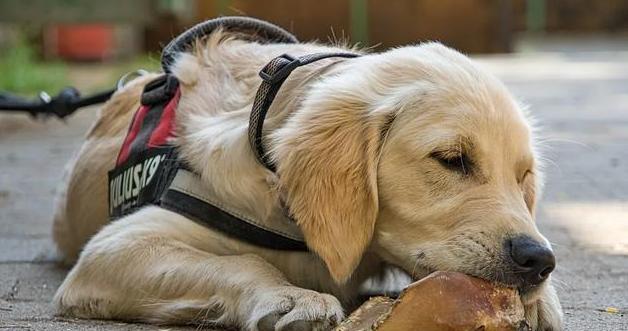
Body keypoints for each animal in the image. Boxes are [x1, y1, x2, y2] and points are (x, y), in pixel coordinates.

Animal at [52, 30, 564, 330]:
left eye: (523, 177)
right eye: (452, 159)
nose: (539, 261)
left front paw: (541, 301)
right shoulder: (114, 248)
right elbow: (244, 263)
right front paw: (289, 297)